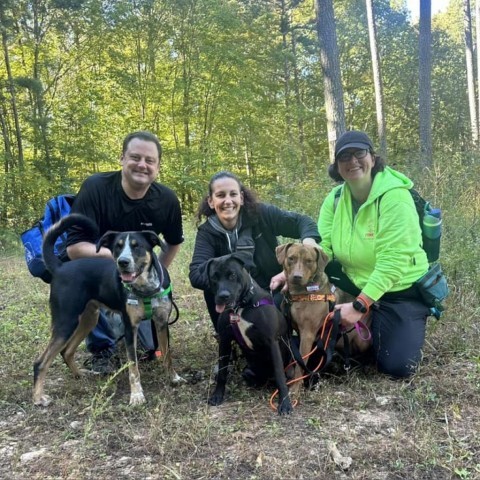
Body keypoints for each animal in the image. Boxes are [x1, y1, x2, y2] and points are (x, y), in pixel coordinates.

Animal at [31, 214, 182, 404]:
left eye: (137, 246)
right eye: (117, 247)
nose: (122, 262)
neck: (145, 288)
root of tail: (60, 267)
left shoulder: (161, 323)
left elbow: (168, 355)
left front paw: (173, 378)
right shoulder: (130, 328)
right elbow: (133, 367)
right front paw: (136, 395)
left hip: (88, 319)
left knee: (66, 351)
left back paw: (80, 374)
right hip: (66, 322)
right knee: (40, 362)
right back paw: (38, 397)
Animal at [206, 253, 292, 414]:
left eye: (232, 275)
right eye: (214, 277)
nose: (223, 296)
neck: (241, 307)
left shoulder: (272, 342)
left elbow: (279, 375)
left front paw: (285, 403)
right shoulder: (224, 341)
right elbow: (222, 372)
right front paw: (217, 395)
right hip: (248, 371)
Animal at [276, 244, 374, 394]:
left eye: (309, 261)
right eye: (291, 258)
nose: (297, 276)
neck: (300, 293)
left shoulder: (308, 335)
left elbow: (301, 363)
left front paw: (295, 388)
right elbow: (294, 357)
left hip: (362, 339)